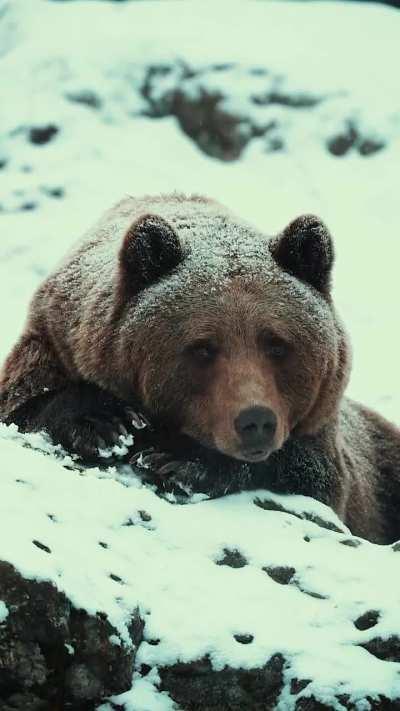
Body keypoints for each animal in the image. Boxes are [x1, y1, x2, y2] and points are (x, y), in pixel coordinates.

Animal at [0, 193, 399, 544]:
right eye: (203, 348)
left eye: (276, 344)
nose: (256, 421)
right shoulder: (53, 340)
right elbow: (24, 404)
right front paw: (107, 423)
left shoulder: (327, 439)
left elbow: (310, 473)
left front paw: (177, 460)